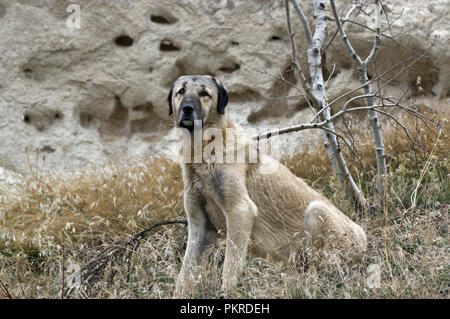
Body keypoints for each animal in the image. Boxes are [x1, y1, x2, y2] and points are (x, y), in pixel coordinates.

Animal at [167, 75, 368, 298]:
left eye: (204, 94)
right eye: (181, 92)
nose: (187, 108)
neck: (203, 150)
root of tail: (365, 241)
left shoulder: (239, 211)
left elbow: (230, 264)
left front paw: (228, 292)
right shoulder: (200, 226)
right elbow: (185, 274)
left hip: (317, 211)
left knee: (325, 269)